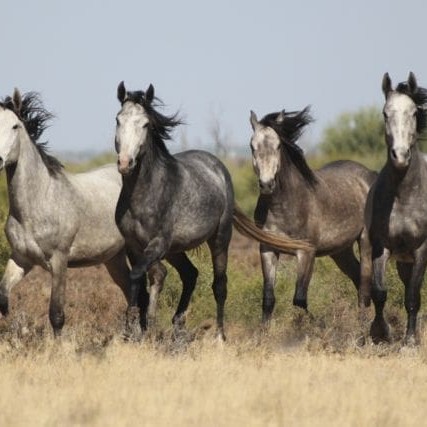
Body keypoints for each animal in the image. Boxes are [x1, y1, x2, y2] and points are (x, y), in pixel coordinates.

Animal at [0, 88, 167, 338]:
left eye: (15, 126)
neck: (39, 200)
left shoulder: (59, 260)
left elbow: (56, 314)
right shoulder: (21, 258)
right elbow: (3, 297)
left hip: (138, 250)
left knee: (153, 281)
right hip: (114, 259)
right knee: (135, 293)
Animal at [113, 82, 312, 340]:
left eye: (146, 124)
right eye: (118, 120)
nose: (125, 163)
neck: (144, 194)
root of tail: (217, 166)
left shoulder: (157, 244)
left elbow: (142, 275)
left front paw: (138, 328)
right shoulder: (133, 245)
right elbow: (143, 277)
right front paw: (138, 329)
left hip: (218, 239)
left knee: (219, 284)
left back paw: (219, 336)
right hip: (176, 249)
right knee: (190, 274)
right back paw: (178, 325)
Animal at [251, 108, 378, 324]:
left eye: (278, 146)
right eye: (252, 146)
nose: (267, 184)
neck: (283, 207)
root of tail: (369, 174)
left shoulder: (306, 252)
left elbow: (299, 299)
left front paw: (317, 325)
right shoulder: (267, 249)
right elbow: (268, 299)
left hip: (365, 241)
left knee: (364, 286)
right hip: (340, 251)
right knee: (357, 278)